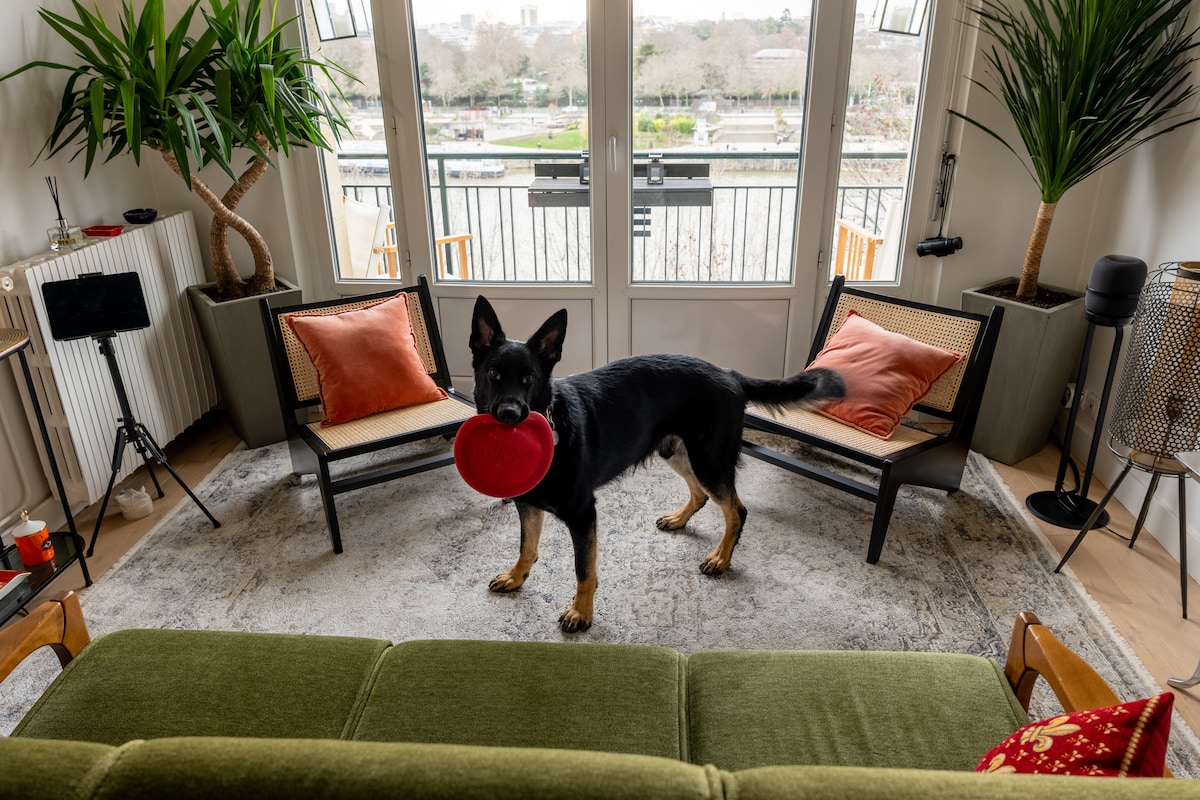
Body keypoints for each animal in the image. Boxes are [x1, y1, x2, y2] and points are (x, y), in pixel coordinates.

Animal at [469, 296, 844, 632]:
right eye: (493, 373)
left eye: (529, 378)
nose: (509, 415)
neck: (551, 422)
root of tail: (729, 374)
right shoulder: (528, 504)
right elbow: (527, 547)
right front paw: (516, 577)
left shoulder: (583, 514)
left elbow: (583, 570)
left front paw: (581, 613)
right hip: (675, 452)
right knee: (701, 495)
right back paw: (679, 520)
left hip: (708, 461)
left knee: (736, 509)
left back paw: (721, 558)